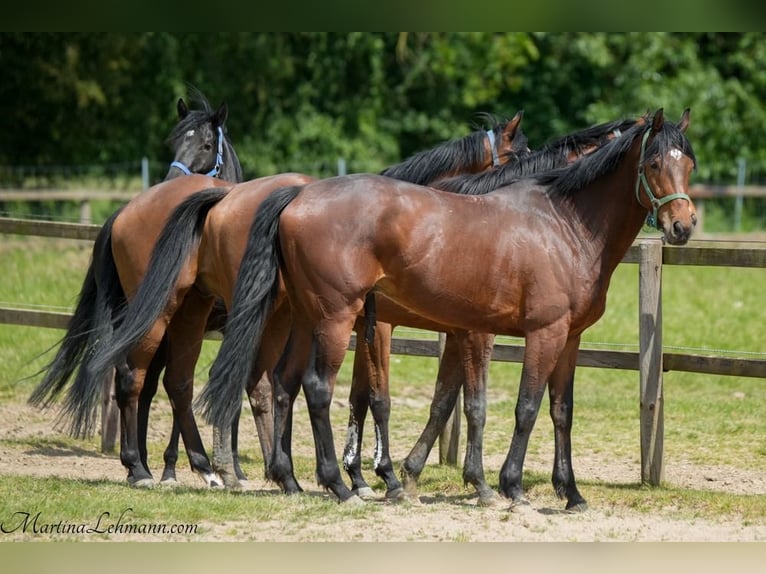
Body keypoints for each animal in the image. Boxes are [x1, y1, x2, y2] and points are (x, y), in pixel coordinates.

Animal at [29, 88, 243, 488]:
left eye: (207, 145)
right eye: (175, 141)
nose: (170, 179)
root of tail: (122, 214)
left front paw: (172, 466)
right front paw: (200, 466)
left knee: (130, 377)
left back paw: (138, 465)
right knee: (132, 377)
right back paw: (141, 467)